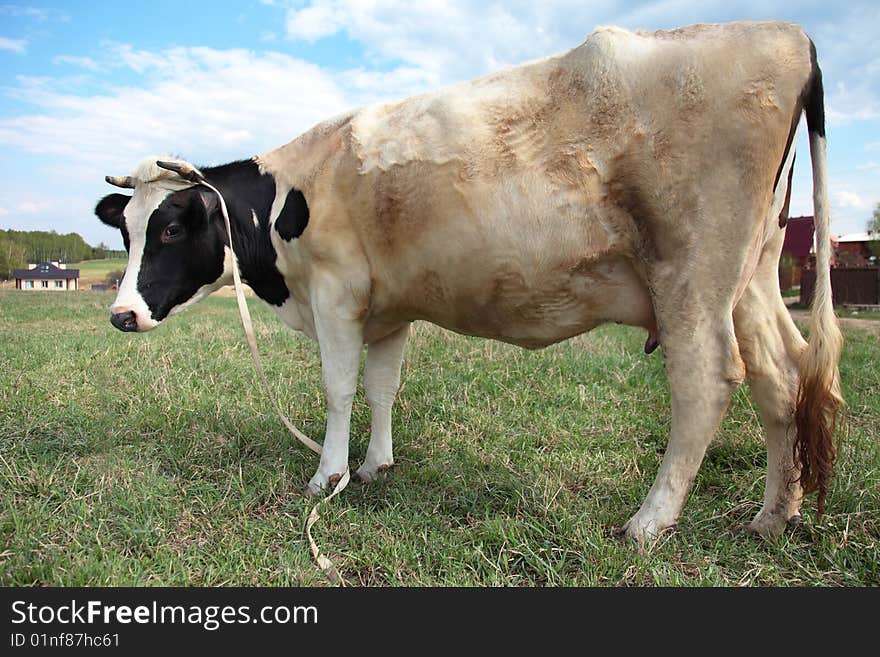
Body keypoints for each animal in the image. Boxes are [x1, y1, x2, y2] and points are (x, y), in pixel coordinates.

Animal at [93, 21, 844, 544]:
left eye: (170, 229)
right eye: (124, 230)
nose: (123, 314)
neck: (290, 192)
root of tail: (785, 33)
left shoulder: (336, 295)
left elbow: (338, 390)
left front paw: (326, 476)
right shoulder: (387, 309)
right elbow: (382, 387)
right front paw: (375, 466)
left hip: (692, 273)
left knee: (709, 381)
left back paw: (649, 522)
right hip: (752, 275)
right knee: (783, 374)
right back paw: (774, 515)